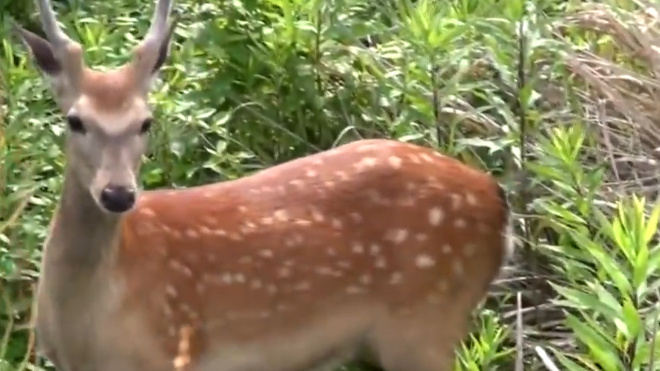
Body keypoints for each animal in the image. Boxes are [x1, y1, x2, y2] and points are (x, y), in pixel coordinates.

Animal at [12, 0, 512, 371]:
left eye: (145, 122)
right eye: (75, 120)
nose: (118, 194)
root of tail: (496, 198)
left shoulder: (168, 355)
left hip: (426, 317)